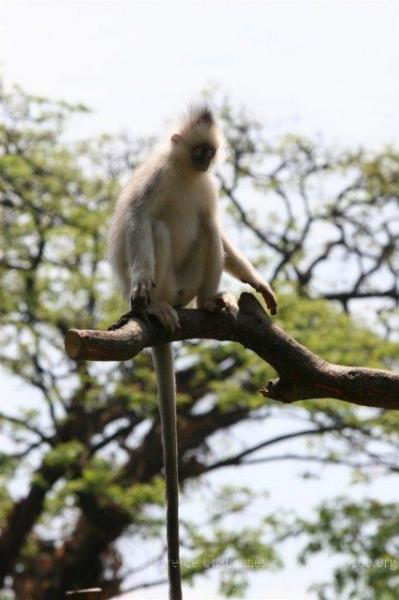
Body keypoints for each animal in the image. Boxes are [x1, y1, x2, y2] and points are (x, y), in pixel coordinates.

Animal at [107, 105, 278, 596]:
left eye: (210, 153)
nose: (206, 162)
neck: (185, 174)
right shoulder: (154, 180)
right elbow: (137, 220)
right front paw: (141, 285)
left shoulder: (207, 186)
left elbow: (218, 228)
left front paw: (259, 284)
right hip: (164, 278)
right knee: (155, 228)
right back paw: (156, 305)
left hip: (189, 278)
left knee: (209, 226)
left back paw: (208, 302)